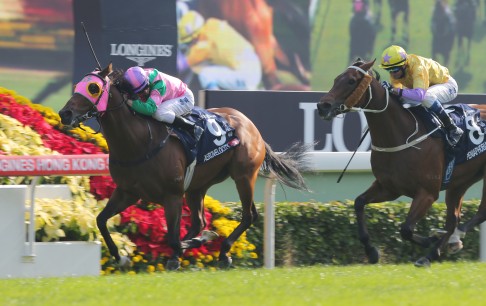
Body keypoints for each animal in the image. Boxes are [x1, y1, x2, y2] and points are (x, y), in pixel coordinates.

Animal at [58, 63, 308, 268]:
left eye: (93, 88)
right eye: (78, 85)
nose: (65, 113)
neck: (139, 141)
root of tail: (250, 125)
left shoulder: (172, 195)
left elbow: (173, 239)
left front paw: (205, 239)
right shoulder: (127, 192)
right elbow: (101, 220)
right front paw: (121, 258)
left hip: (244, 176)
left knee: (249, 215)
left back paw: (223, 252)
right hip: (197, 186)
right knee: (199, 222)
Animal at [318, 58, 486, 266]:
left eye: (351, 81)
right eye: (336, 79)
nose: (322, 106)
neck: (399, 134)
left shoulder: (427, 193)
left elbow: (405, 229)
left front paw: (431, 239)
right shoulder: (389, 188)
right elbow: (359, 203)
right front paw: (371, 251)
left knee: (476, 213)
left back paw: (449, 240)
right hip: (461, 181)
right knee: (454, 218)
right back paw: (441, 247)